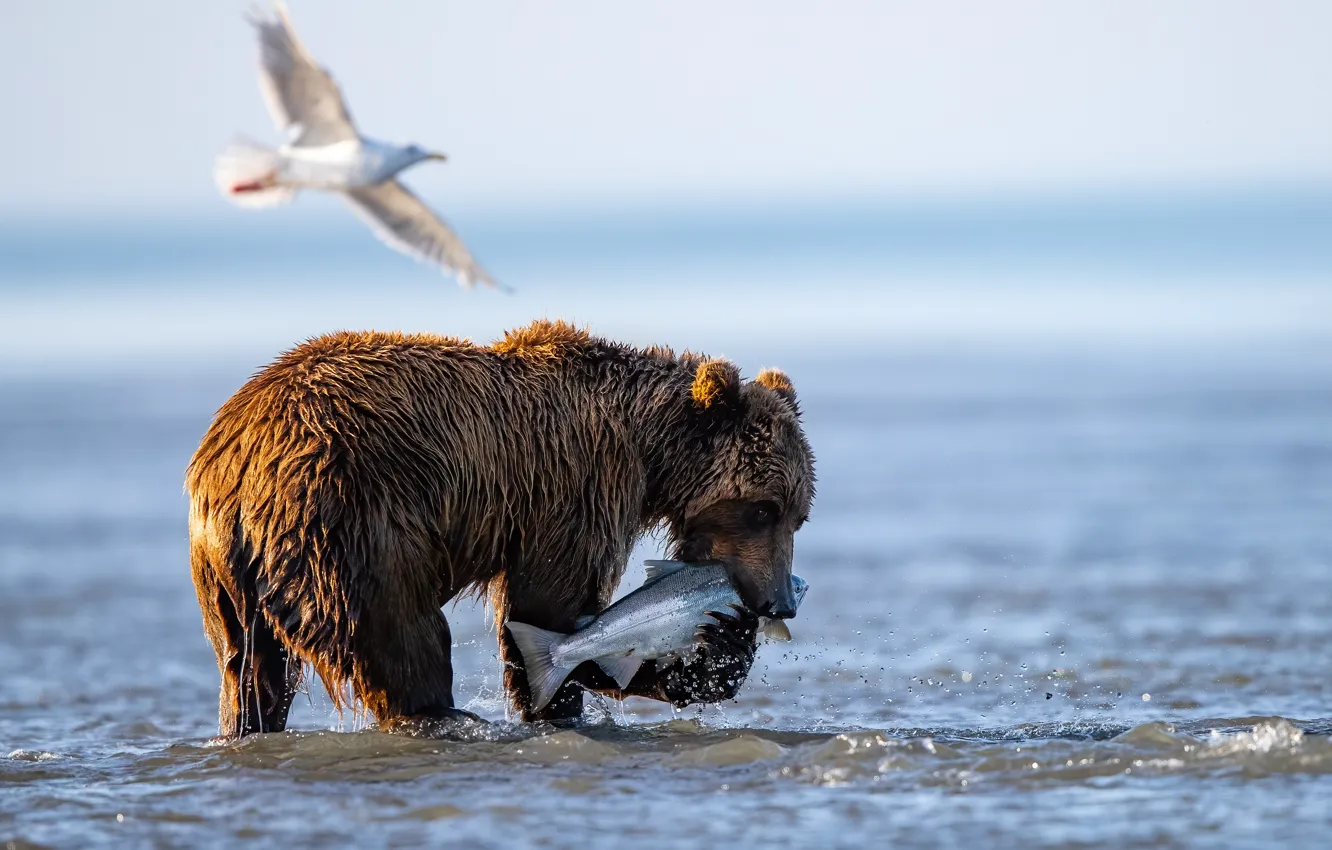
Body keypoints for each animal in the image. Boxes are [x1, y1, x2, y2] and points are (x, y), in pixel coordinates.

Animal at [186, 319, 815, 737]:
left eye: (798, 512)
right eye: (763, 509)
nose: (779, 602)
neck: (647, 447)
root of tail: (231, 470)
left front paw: (715, 655)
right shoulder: (575, 486)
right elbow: (551, 608)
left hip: (228, 581)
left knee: (250, 672)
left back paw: (247, 725)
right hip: (348, 523)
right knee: (399, 635)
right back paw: (442, 713)